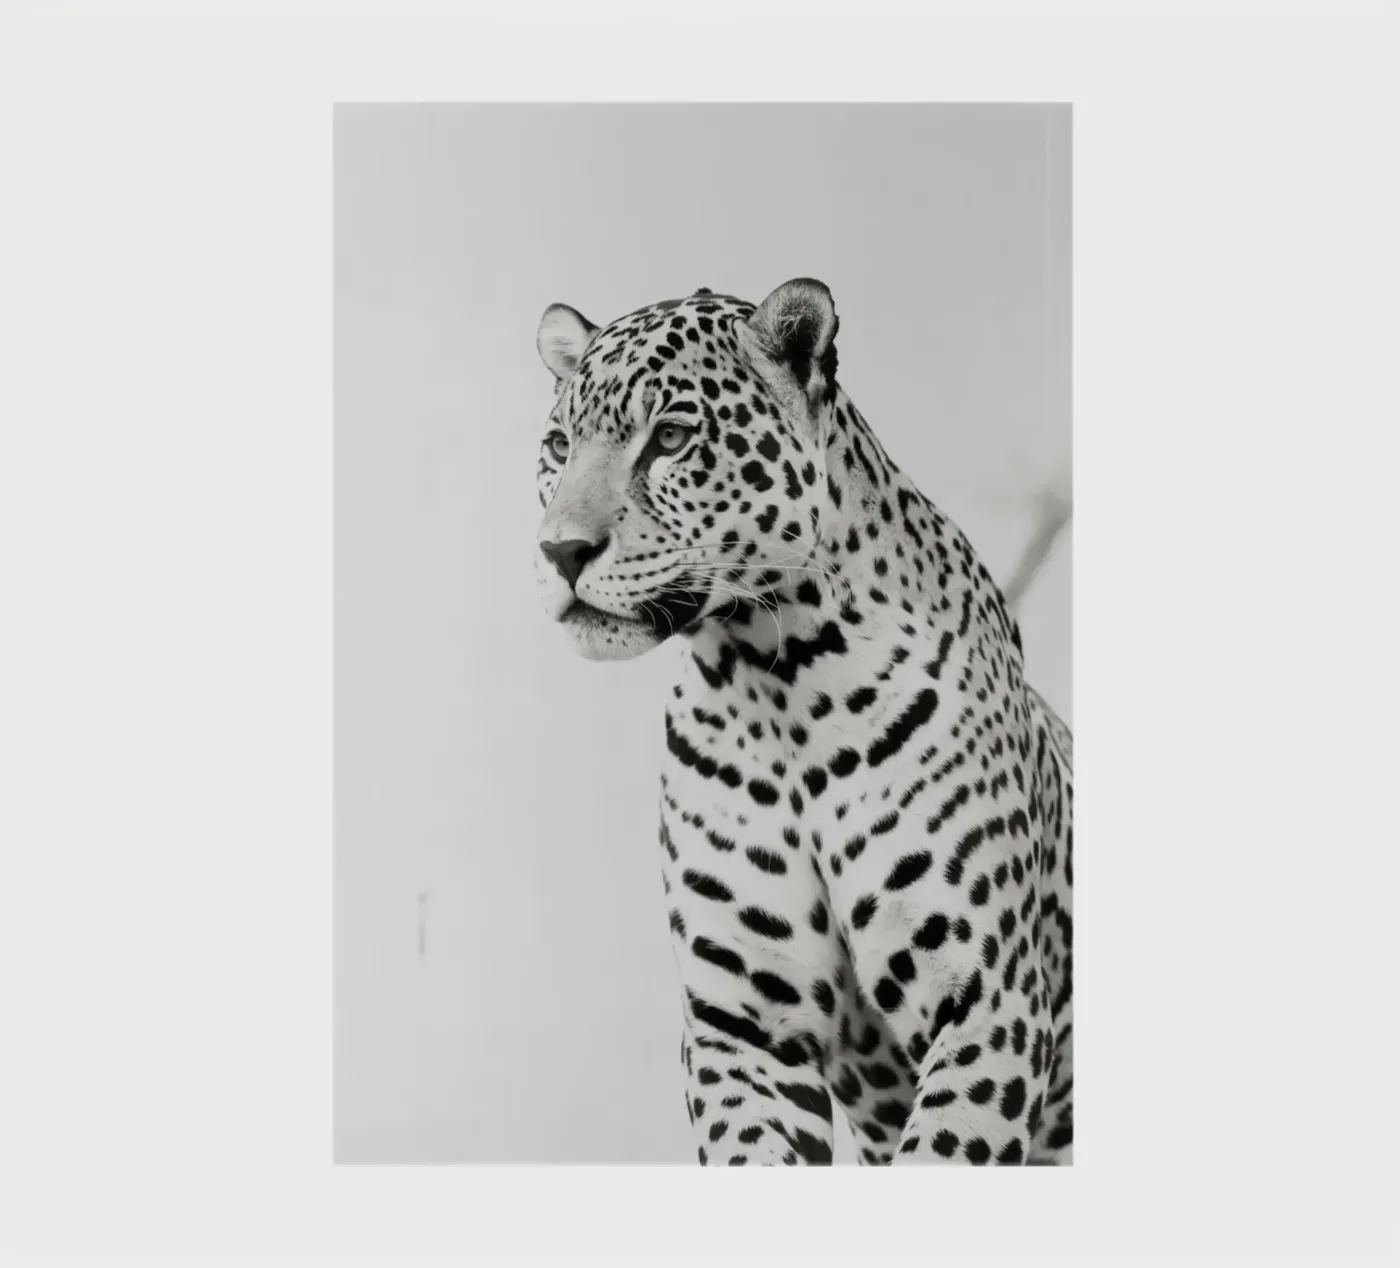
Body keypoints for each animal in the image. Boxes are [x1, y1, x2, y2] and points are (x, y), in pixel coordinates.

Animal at [531, 279, 1073, 1165]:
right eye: (556, 446)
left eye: (670, 437)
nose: (560, 552)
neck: (774, 680)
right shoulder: (745, 1025)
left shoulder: (986, 1002)